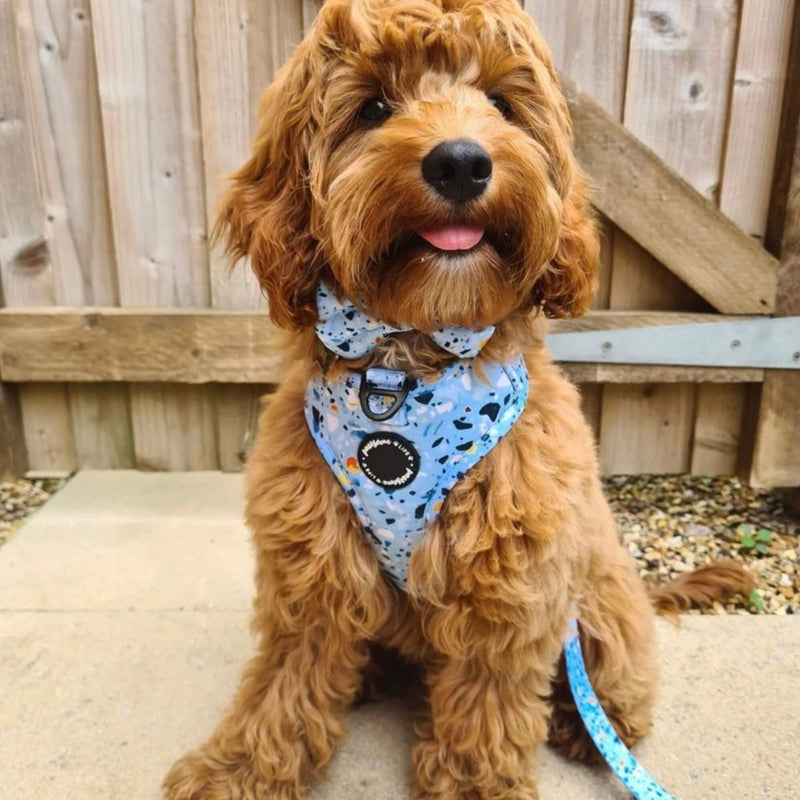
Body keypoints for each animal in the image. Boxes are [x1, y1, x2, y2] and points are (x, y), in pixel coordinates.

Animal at [161, 3, 752, 796]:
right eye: (374, 107)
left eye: (502, 103)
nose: (462, 162)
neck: (407, 369)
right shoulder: (310, 563)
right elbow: (286, 677)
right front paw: (240, 768)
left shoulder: (510, 586)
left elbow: (484, 705)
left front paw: (473, 784)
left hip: (599, 600)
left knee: (620, 685)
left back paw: (590, 727)